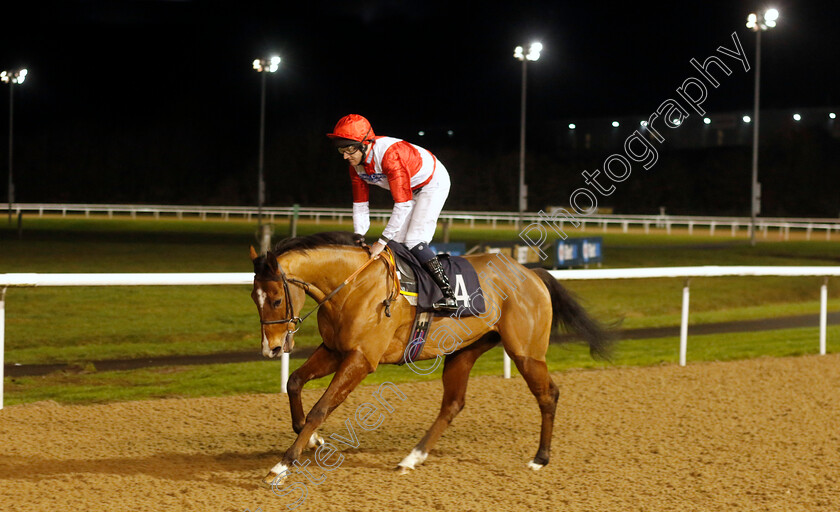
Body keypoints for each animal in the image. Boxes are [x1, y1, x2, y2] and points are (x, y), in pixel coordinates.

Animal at [248, 231, 612, 484]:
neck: (353, 285)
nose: (272, 348)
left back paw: (540, 457)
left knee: (548, 394)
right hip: (464, 351)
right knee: (452, 404)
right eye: (254, 297)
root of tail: (532, 272)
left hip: (526, 351)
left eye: (277, 299)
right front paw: (311, 440)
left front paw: (282, 464)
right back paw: (412, 458)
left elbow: (321, 408)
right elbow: (294, 382)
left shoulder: (361, 359)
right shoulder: (335, 351)